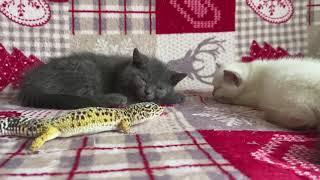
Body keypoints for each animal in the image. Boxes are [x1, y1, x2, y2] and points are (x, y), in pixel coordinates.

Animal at [18, 48, 188, 109]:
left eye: (159, 87)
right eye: (143, 79)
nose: (147, 92)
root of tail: (29, 82)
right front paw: (176, 96)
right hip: (84, 69)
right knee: (85, 97)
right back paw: (116, 99)